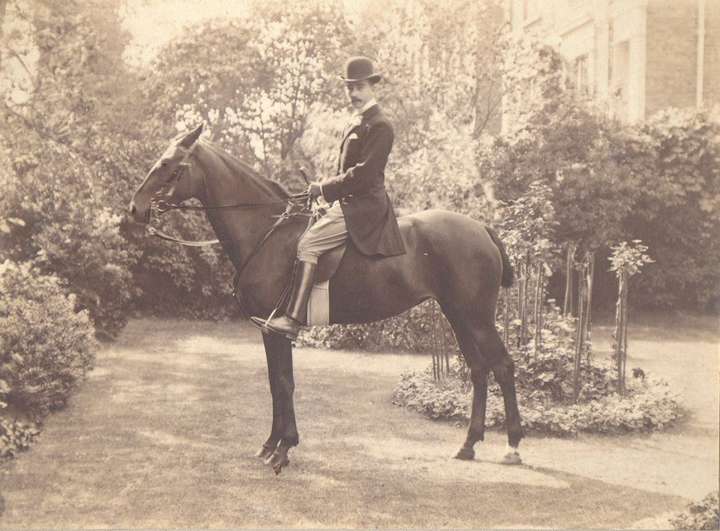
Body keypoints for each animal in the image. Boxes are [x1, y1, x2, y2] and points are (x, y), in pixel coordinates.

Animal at [128, 124, 524, 474]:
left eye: (168, 164)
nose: (135, 208)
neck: (267, 230)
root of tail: (481, 228)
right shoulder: (267, 330)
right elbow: (274, 383)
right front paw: (271, 444)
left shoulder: (277, 330)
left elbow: (284, 383)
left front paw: (284, 449)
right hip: (457, 315)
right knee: (478, 370)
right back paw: (468, 445)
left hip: (477, 317)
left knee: (503, 366)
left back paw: (513, 446)